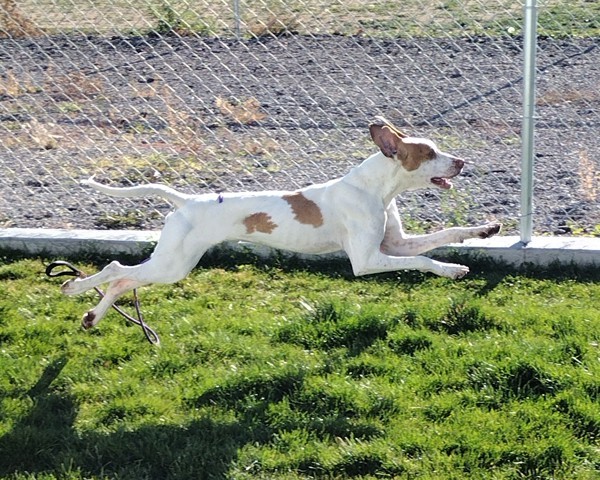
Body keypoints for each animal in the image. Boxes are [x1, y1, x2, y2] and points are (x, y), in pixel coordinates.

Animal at [63, 118, 500, 332]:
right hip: (173, 264)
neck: (375, 189)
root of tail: (186, 200)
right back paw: (74, 288)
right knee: (115, 269)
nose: (462, 162)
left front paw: (485, 230)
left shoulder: (395, 245)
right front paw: (453, 270)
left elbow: (445, 235)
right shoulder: (368, 261)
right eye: (428, 153)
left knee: (123, 280)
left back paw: (92, 316)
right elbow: (425, 262)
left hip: (172, 265)